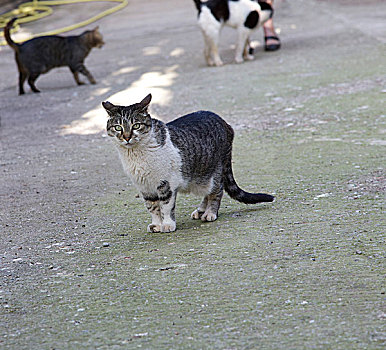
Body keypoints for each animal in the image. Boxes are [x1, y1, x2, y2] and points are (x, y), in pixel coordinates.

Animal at [101, 94, 272, 234]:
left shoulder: (166, 183)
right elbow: (152, 207)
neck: (135, 155)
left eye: (136, 125)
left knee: (216, 191)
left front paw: (167, 224)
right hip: (199, 179)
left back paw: (210, 213)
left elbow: (165, 206)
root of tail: (224, 122)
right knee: (207, 194)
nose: (127, 137)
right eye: (118, 127)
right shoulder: (144, 187)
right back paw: (200, 210)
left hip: (212, 174)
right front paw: (156, 224)